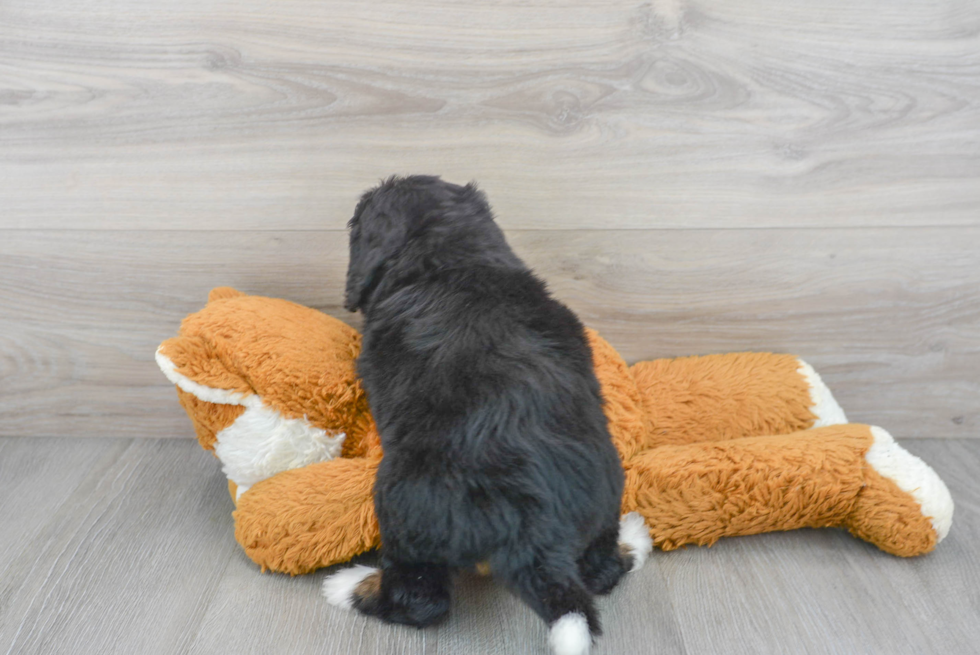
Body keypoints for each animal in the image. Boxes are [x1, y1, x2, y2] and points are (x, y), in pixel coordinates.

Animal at [324, 176, 652, 655]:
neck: (454, 259)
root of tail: (537, 537)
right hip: (604, 492)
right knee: (601, 570)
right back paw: (633, 540)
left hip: (403, 505)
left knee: (420, 600)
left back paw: (350, 586)